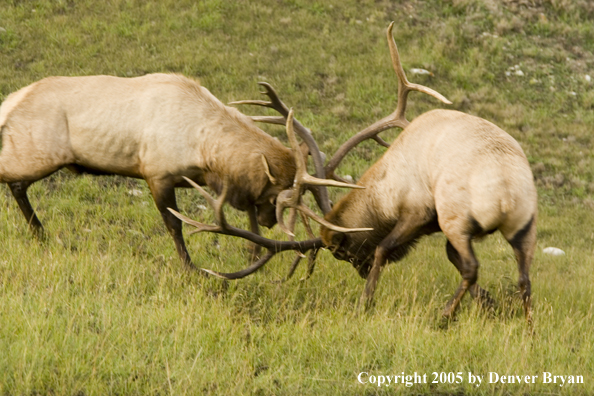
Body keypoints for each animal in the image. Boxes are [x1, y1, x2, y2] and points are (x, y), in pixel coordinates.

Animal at [0, 72, 354, 268]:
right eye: (278, 193)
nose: (271, 222)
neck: (205, 151)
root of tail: (9, 102)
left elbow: (247, 223)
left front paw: (254, 256)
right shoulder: (156, 173)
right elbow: (175, 225)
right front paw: (188, 268)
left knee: (18, 186)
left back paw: (42, 235)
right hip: (38, 153)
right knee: (13, 180)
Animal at [169, 22, 536, 324]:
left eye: (341, 251)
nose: (360, 273)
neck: (385, 195)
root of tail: (504, 194)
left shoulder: (420, 210)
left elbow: (385, 248)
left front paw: (366, 301)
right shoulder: (431, 221)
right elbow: (449, 257)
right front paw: (487, 302)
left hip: (459, 217)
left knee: (475, 268)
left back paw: (445, 316)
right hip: (523, 222)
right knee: (524, 276)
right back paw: (528, 325)